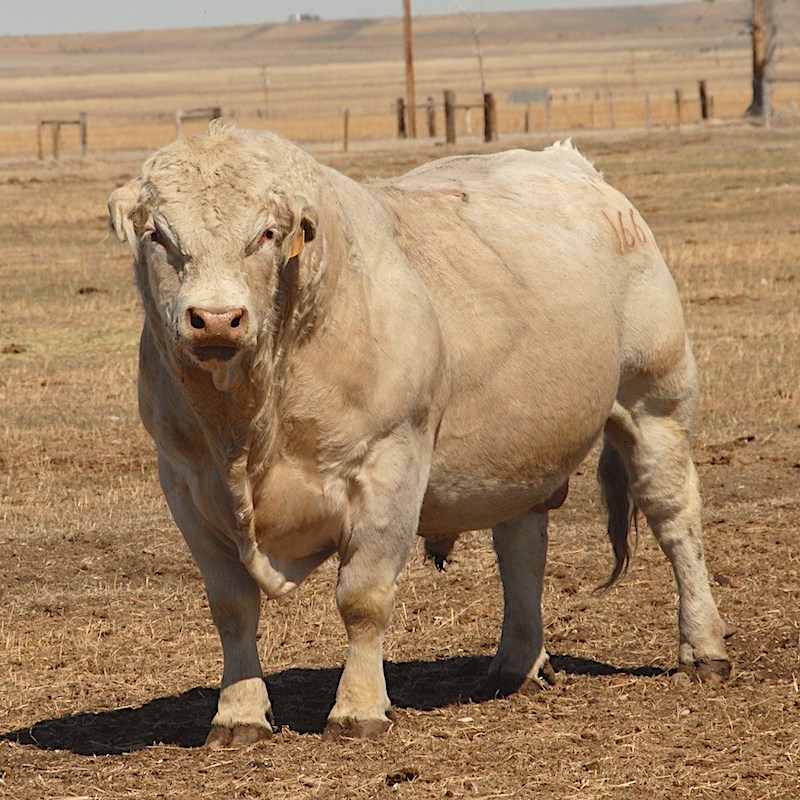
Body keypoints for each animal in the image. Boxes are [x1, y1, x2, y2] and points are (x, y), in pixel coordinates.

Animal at [108, 122, 732, 748]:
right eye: (159, 236)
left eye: (265, 233)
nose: (215, 319)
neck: (249, 420)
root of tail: (575, 167)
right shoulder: (186, 484)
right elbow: (232, 606)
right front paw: (238, 714)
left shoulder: (391, 465)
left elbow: (362, 598)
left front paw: (358, 707)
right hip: (519, 451)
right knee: (521, 549)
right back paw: (518, 664)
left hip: (655, 401)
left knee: (677, 521)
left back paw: (703, 649)